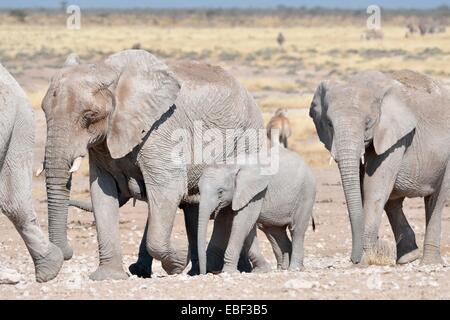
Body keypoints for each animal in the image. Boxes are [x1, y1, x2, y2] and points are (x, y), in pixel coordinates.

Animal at [41, 48, 264, 280]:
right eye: (43, 111)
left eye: (90, 115)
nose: (66, 253)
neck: (108, 71)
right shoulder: (104, 142)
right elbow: (101, 192)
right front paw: (108, 276)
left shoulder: (162, 130)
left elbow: (168, 189)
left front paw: (178, 261)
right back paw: (196, 271)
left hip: (247, 136)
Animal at [197, 146, 316, 274]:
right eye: (198, 190)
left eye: (220, 192)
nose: (203, 273)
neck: (232, 164)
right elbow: (230, 224)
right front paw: (262, 270)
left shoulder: (256, 193)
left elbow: (242, 224)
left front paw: (228, 272)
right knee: (273, 231)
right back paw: (283, 268)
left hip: (306, 193)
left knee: (297, 229)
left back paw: (295, 268)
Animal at [310, 70, 450, 264]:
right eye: (329, 124)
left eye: (368, 123)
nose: (353, 259)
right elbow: (365, 187)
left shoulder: (395, 136)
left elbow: (374, 186)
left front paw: (364, 260)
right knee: (393, 201)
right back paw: (408, 258)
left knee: (436, 199)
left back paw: (429, 263)